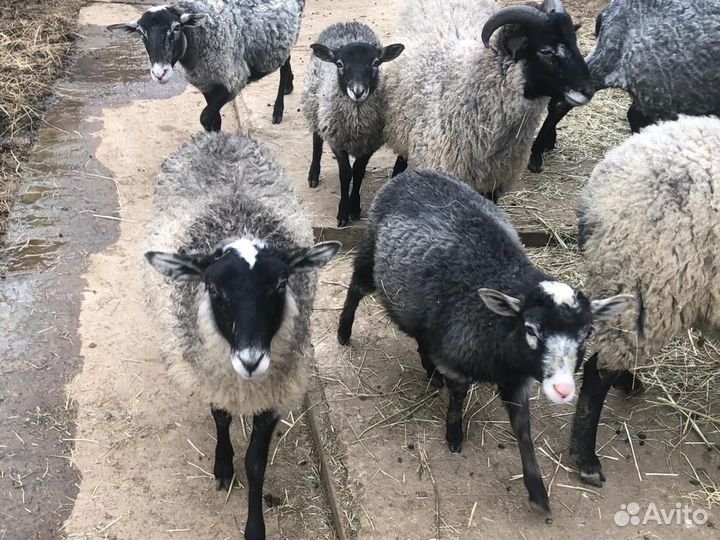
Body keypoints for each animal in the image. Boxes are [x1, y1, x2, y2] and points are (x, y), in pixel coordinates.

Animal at [108, 0, 306, 130]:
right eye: (141, 33)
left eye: (176, 28)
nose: (159, 74)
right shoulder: (206, 83)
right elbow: (213, 120)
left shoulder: (233, 80)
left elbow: (205, 117)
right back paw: (289, 86)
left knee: (284, 64)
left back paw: (278, 110)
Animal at [143, 131, 339, 540]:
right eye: (214, 289)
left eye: (280, 283)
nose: (251, 360)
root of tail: (218, 133)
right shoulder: (216, 375)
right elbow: (221, 419)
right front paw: (223, 467)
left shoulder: (275, 392)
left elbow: (257, 463)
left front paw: (254, 527)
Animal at [301, 22, 404, 227]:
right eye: (340, 64)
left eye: (375, 63)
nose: (357, 91)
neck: (356, 124)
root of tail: (347, 23)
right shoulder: (337, 142)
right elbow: (345, 174)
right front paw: (343, 212)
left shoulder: (369, 144)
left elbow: (358, 172)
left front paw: (354, 207)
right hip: (315, 105)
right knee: (317, 139)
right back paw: (313, 175)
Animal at [337, 168, 631, 517]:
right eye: (531, 330)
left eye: (586, 334)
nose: (563, 390)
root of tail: (415, 171)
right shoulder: (459, 360)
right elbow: (458, 396)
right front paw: (454, 434)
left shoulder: (515, 381)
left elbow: (523, 429)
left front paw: (537, 491)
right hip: (370, 255)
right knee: (355, 288)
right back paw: (344, 332)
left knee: (423, 333)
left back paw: (429, 368)